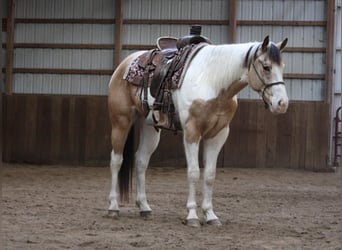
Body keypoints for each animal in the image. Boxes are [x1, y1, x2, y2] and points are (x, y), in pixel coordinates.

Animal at [107, 34, 288, 228]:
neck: (212, 81)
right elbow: (193, 173)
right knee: (116, 160)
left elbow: (209, 175)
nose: (282, 103)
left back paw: (144, 207)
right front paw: (192, 215)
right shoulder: (192, 132)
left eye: (282, 67)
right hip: (121, 122)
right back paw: (113, 207)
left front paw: (210, 215)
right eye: (266, 67)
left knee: (141, 161)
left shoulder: (218, 135)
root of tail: (125, 64)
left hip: (149, 128)